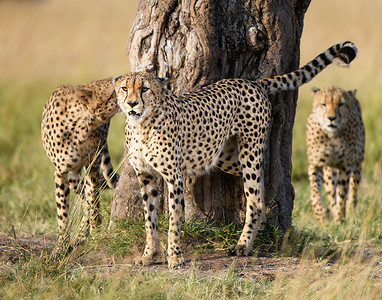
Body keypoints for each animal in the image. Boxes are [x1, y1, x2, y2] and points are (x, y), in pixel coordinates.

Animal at [41, 78, 120, 238]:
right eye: (113, 91)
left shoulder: (92, 164)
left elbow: (94, 200)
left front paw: (95, 232)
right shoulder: (61, 172)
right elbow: (62, 213)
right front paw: (62, 242)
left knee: (90, 195)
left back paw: (83, 233)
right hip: (73, 176)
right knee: (84, 197)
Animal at [114, 41, 358, 268]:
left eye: (145, 89)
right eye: (125, 88)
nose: (132, 103)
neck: (141, 124)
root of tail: (251, 82)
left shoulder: (174, 176)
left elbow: (174, 218)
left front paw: (175, 256)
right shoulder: (146, 175)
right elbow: (150, 218)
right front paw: (149, 255)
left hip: (249, 150)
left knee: (255, 198)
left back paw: (244, 245)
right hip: (225, 156)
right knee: (259, 187)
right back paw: (256, 231)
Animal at [306, 85, 366, 224]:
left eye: (341, 104)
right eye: (323, 104)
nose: (331, 118)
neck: (331, 135)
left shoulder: (346, 166)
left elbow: (342, 194)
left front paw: (340, 218)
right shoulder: (316, 164)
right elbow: (314, 192)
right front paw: (321, 216)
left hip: (357, 164)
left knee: (353, 188)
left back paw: (350, 210)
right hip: (329, 172)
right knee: (331, 191)